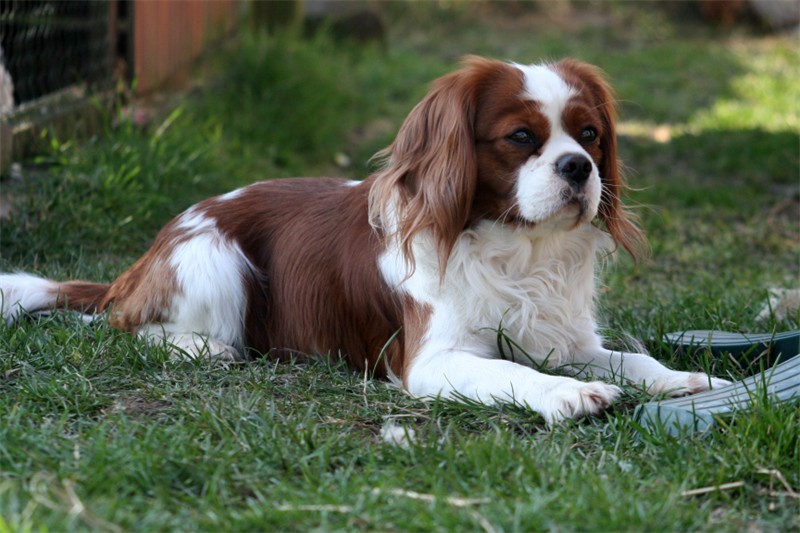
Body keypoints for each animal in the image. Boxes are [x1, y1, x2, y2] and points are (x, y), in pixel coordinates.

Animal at [0, 57, 732, 424]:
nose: (579, 169)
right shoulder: (431, 361)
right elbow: (512, 371)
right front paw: (566, 396)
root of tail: (142, 260)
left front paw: (683, 379)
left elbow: (628, 360)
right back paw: (204, 347)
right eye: (522, 137)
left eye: (590, 135)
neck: (515, 249)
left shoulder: (565, 339)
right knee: (126, 324)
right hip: (215, 258)